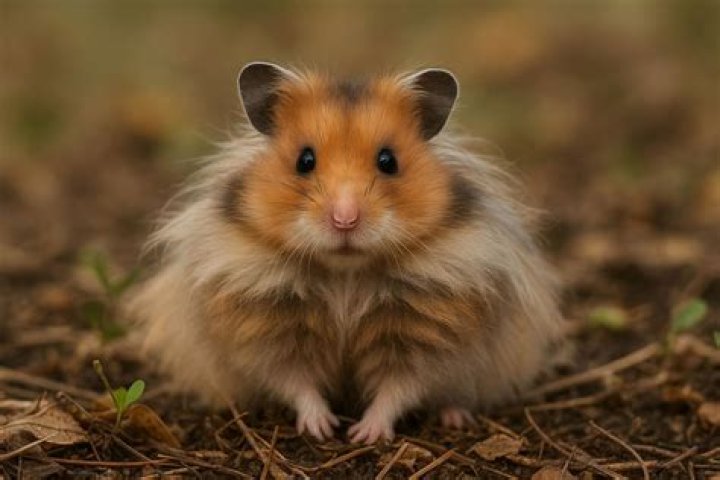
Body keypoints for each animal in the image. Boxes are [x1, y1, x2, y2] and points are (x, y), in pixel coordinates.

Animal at [129, 62, 565, 444]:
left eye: (388, 161)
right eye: (304, 160)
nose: (345, 220)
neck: (346, 274)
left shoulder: (428, 335)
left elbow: (398, 388)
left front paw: (363, 434)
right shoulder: (268, 333)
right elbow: (296, 381)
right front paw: (323, 428)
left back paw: (454, 417)